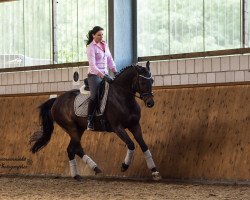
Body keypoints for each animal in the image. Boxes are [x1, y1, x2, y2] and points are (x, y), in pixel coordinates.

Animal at [29, 61, 162, 181]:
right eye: (142, 82)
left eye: (152, 81)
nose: (150, 103)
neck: (122, 97)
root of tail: (56, 100)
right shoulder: (117, 127)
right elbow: (131, 144)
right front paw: (124, 166)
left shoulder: (135, 125)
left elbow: (144, 146)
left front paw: (154, 171)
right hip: (71, 128)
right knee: (76, 148)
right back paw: (93, 168)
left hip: (79, 128)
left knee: (72, 149)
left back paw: (79, 174)